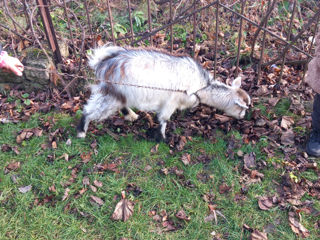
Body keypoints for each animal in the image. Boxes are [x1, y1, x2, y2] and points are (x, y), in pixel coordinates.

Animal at [77, 45, 250, 141]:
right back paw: (81, 132)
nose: (242, 118)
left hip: (119, 92)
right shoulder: (172, 100)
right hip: (112, 91)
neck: (201, 87)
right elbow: (164, 119)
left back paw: (131, 116)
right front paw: (162, 138)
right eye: (242, 107)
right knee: (91, 110)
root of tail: (103, 62)